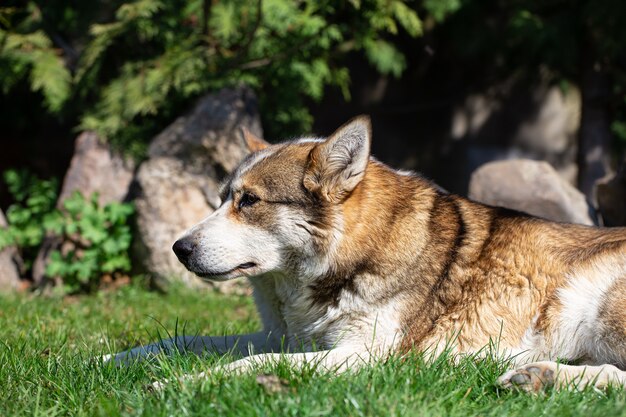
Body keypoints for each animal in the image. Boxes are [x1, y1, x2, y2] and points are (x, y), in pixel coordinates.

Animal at [107, 115, 624, 392]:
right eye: (220, 199)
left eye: (249, 202)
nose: (179, 248)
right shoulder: (285, 338)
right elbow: (178, 342)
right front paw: (108, 361)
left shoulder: (366, 357)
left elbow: (249, 364)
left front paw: (175, 385)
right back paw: (537, 377)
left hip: (594, 307)